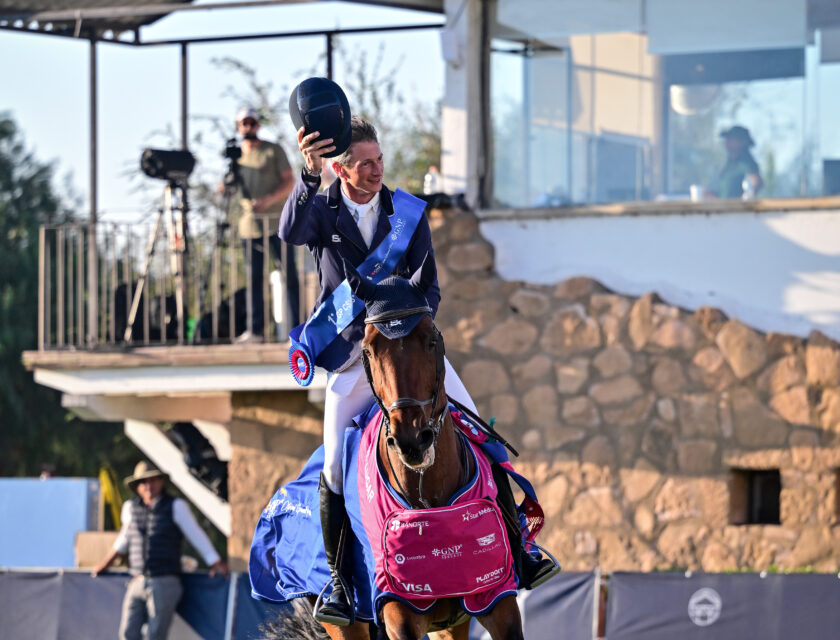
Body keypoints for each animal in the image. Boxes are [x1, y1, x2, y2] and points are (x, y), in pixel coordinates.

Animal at [306, 258, 524, 640]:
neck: (429, 492)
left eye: (431, 340)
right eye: (368, 348)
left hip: (452, 621)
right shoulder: (399, 610)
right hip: (345, 625)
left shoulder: (497, 596)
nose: (412, 439)